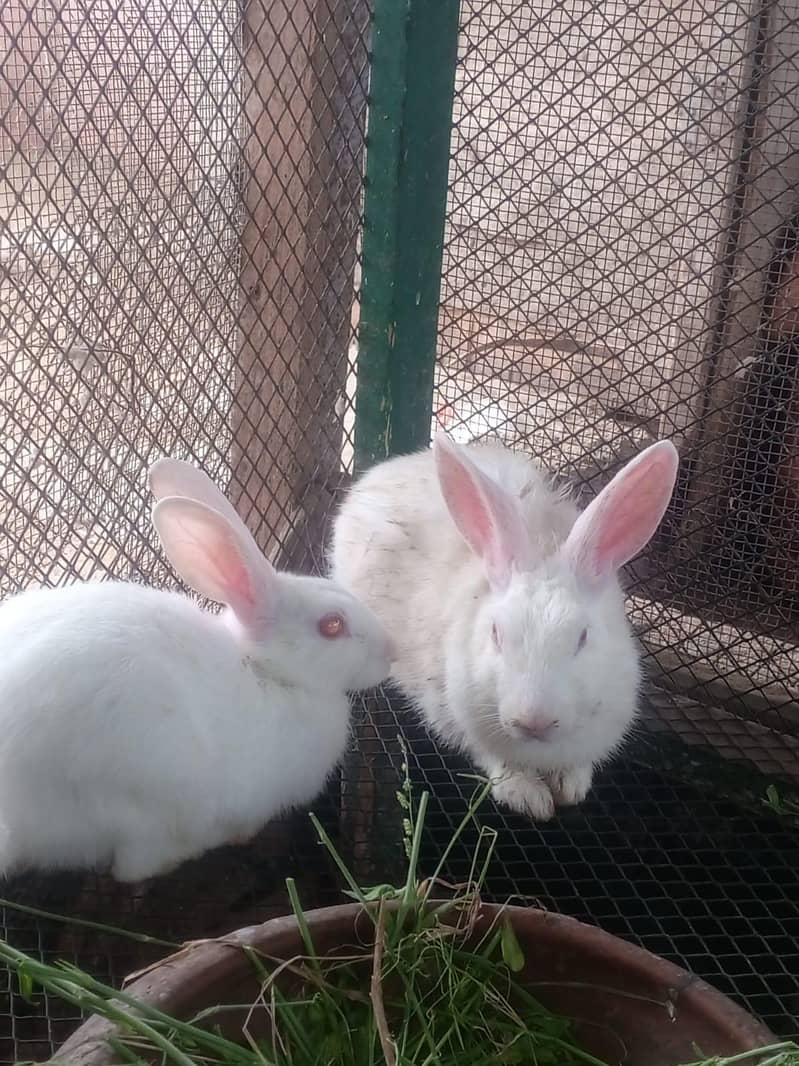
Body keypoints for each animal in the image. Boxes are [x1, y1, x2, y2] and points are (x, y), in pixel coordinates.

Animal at [329, 432, 679, 820]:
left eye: (583, 637)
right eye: (496, 634)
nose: (533, 721)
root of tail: (390, 468)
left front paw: (571, 787)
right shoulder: (453, 712)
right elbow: (496, 760)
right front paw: (528, 798)